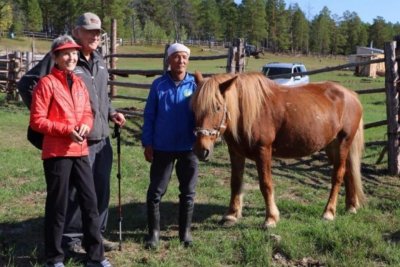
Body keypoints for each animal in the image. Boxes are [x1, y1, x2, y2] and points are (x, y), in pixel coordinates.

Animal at [191, 72, 366, 229]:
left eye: (217, 107)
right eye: (194, 108)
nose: (201, 150)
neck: (250, 112)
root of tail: (351, 95)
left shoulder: (263, 151)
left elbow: (266, 184)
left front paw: (270, 219)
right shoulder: (235, 152)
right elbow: (235, 182)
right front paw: (231, 215)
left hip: (343, 143)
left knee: (338, 175)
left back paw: (329, 212)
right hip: (332, 147)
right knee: (348, 172)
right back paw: (351, 206)